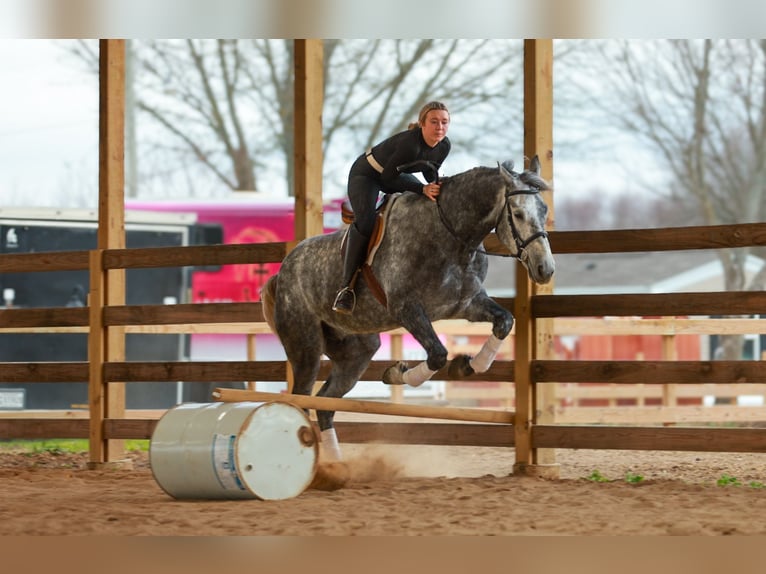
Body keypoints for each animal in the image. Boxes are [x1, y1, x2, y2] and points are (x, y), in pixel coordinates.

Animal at [261, 155, 555, 460]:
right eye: (518, 214)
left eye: (544, 210)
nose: (545, 269)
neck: (448, 236)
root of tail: (282, 271)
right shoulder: (407, 309)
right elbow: (437, 355)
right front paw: (397, 373)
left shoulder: (466, 305)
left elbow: (504, 322)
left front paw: (468, 366)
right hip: (306, 347)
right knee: (300, 399)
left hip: (356, 353)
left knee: (325, 403)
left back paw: (335, 464)